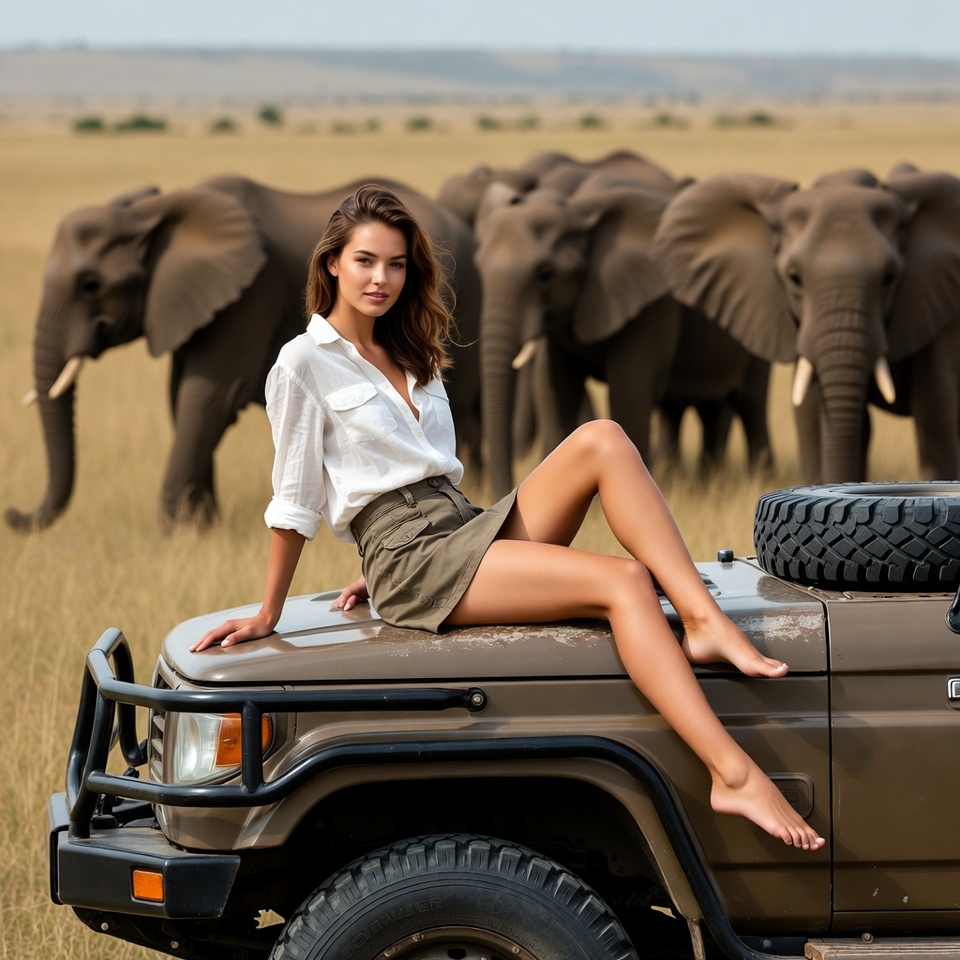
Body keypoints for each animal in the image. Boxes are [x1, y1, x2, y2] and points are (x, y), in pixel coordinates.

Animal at [8, 175, 482, 531]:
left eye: (90, 285)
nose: (12, 513)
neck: (151, 213)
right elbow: (182, 397)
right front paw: (200, 529)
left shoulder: (248, 297)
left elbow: (208, 399)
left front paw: (177, 534)